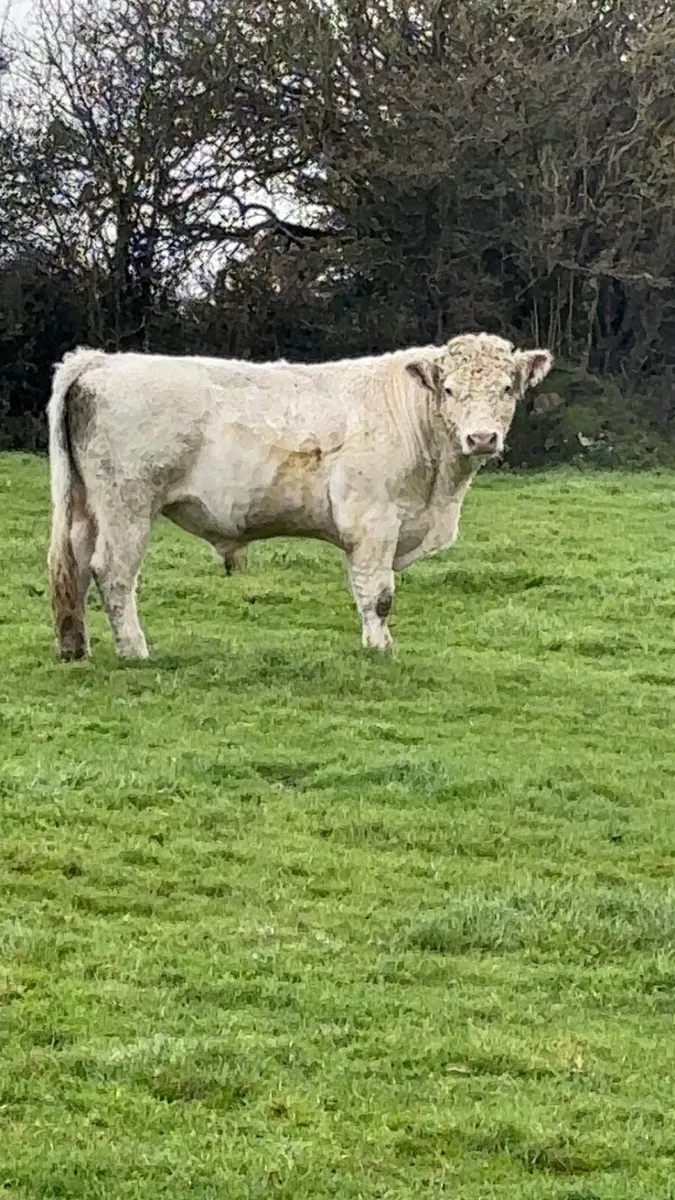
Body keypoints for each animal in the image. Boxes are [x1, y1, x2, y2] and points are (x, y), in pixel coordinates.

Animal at [47, 333, 552, 660]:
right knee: (112, 572)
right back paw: (134, 649)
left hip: (87, 506)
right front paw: (380, 649)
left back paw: (76, 646)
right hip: (127, 505)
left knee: (75, 565)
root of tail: (101, 360)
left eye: (507, 388)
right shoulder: (373, 522)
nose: (482, 438)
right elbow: (378, 594)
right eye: (449, 389)